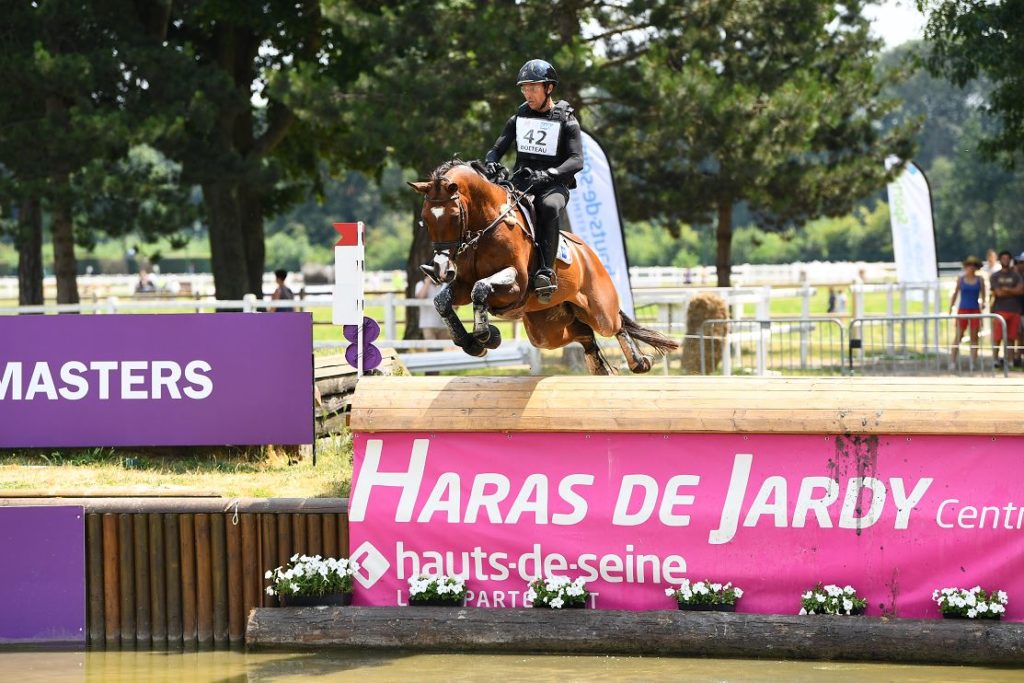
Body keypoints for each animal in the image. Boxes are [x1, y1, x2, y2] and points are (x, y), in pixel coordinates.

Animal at [407, 160, 679, 374]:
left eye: (454, 216)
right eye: (425, 218)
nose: (441, 268)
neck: (485, 225)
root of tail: (590, 254)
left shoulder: (516, 284)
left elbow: (481, 288)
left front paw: (486, 335)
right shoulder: (461, 284)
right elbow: (442, 301)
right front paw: (471, 342)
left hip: (600, 310)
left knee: (616, 324)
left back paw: (639, 362)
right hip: (547, 331)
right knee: (583, 334)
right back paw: (600, 369)